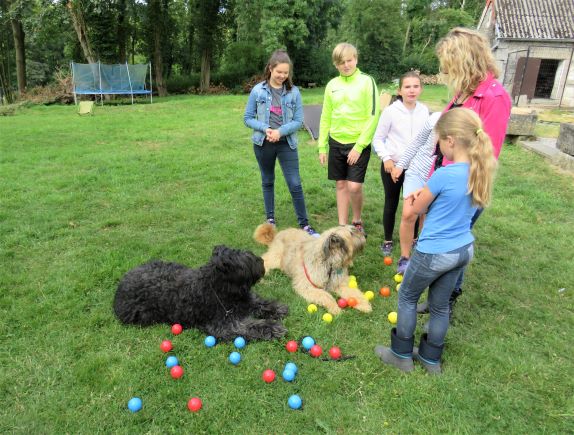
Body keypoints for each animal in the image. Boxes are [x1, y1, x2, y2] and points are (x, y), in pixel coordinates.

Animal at [114, 245, 290, 340]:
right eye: (245, 259)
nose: (261, 261)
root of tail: (121, 284)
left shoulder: (245, 301)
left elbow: (258, 302)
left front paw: (276, 308)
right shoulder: (224, 325)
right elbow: (249, 326)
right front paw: (272, 327)